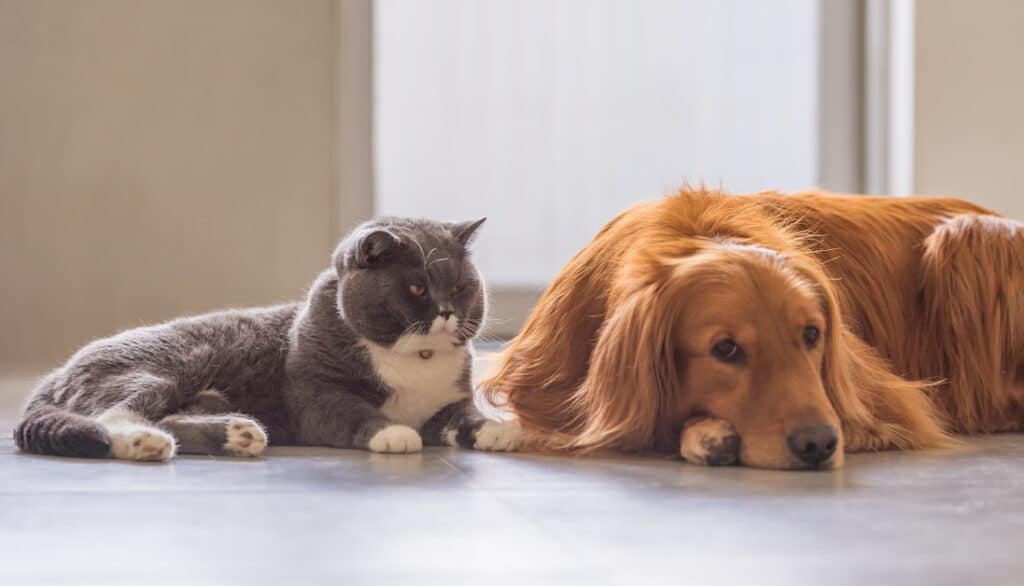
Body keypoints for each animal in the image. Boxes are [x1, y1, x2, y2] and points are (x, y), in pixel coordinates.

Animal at [11, 217, 516, 461]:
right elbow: (354, 412)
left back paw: (237, 435)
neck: (415, 359)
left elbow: (465, 415)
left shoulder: (448, 401)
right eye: (416, 289)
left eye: (461, 287)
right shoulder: (316, 395)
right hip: (164, 364)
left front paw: (497, 429)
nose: (448, 312)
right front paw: (394, 432)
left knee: (169, 417)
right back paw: (144, 443)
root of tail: (52, 377)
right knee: (113, 414)